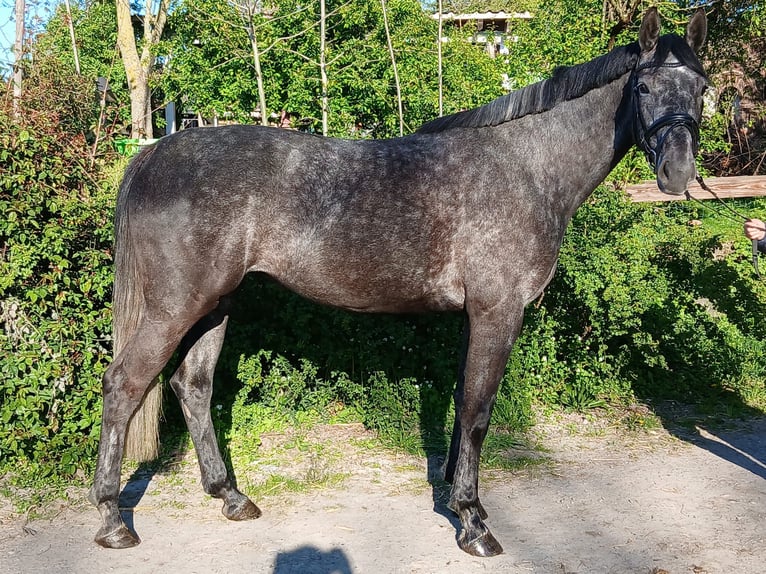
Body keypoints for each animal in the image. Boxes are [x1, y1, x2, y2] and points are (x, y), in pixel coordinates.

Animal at [90, 7, 708, 557]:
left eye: (702, 87)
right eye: (644, 87)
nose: (676, 173)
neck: (527, 167)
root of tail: (152, 156)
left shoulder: (475, 317)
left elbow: (463, 403)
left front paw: (461, 501)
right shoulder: (498, 312)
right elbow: (479, 412)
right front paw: (474, 525)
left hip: (215, 304)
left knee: (191, 386)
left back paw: (231, 497)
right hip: (176, 307)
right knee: (123, 385)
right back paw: (113, 521)